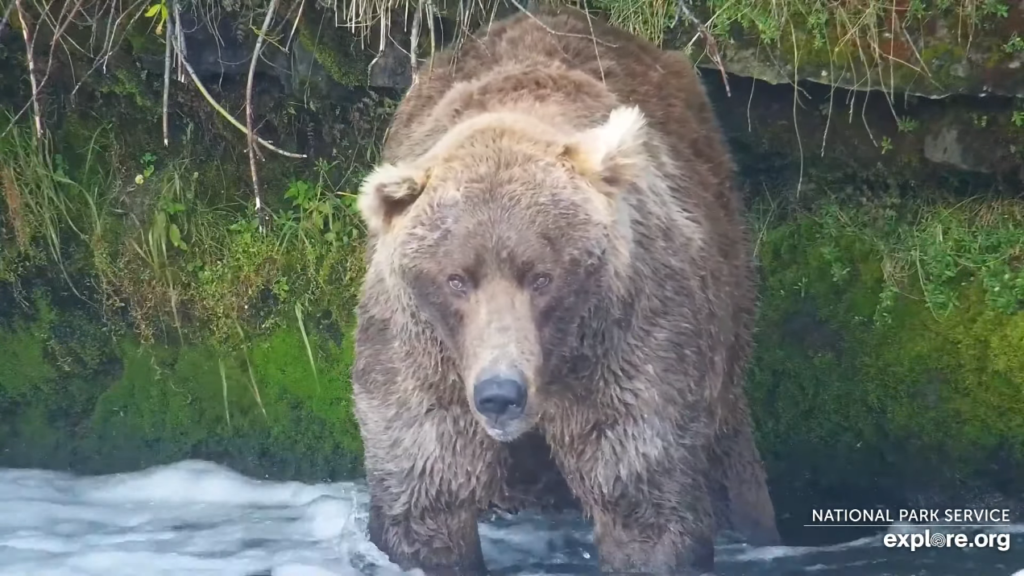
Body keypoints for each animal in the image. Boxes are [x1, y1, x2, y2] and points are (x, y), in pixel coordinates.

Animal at [350, 5, 774, 573]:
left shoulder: (627, 334)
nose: (500, 393)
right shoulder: (420, 346)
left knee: (728, 449)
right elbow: (426, 488)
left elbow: (641, 496)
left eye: (541, 276)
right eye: (456, 278)